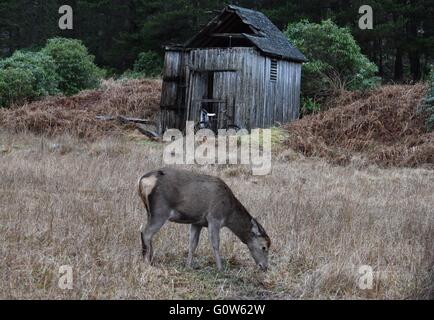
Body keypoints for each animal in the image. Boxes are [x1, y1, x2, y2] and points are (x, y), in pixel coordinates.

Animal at [137, 168, 270, 270]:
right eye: (264, 247)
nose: (264, 266)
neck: (228, 213)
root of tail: (142, 180)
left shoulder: (197, 222)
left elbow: (193, 243)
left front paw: (188, 265)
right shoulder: (214, 218)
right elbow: (215, 243)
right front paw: (220, 268)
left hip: (149, 211)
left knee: (147, 233)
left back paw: (151, 258)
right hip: (160, 211)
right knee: (146, 232)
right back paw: (146, 262)